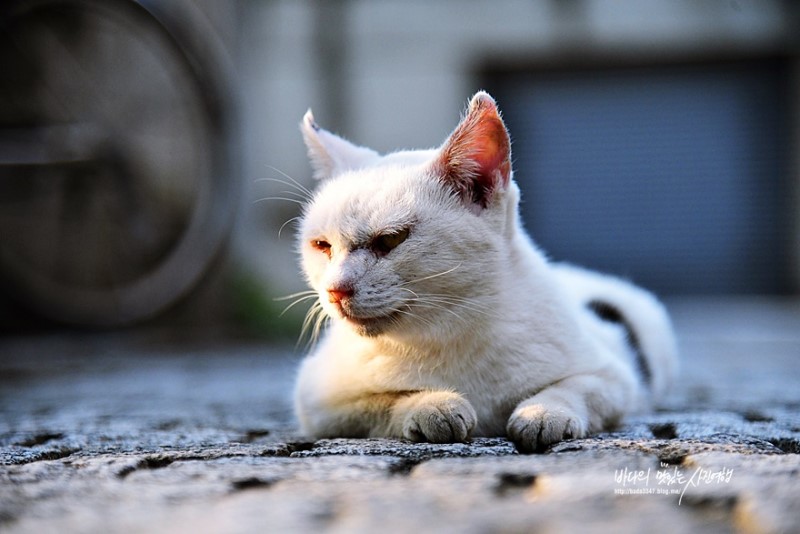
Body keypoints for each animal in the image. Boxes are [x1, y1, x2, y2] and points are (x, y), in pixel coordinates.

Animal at [290, 91, 680, 452]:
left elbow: (575, 388)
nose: (335, 289)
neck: (447, 333)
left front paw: (543, 413)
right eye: (322, 245)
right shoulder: (318, 401)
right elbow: (380, 402)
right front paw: (432, 405)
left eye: (391, 239)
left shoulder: (614, 377)